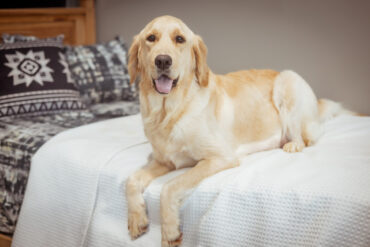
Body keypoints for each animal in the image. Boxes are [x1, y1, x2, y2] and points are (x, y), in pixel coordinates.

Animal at [125, 15, 352, 247]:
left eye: (179, 39)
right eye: (151, 38)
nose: (162, 60)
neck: (169, 112)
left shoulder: (220, 157)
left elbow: (170, 186)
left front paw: (169, 231)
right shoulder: (164, 161)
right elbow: (131, 180)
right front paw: (137, 220)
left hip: (288, 81)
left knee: (304, 137)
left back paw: (292, 144)